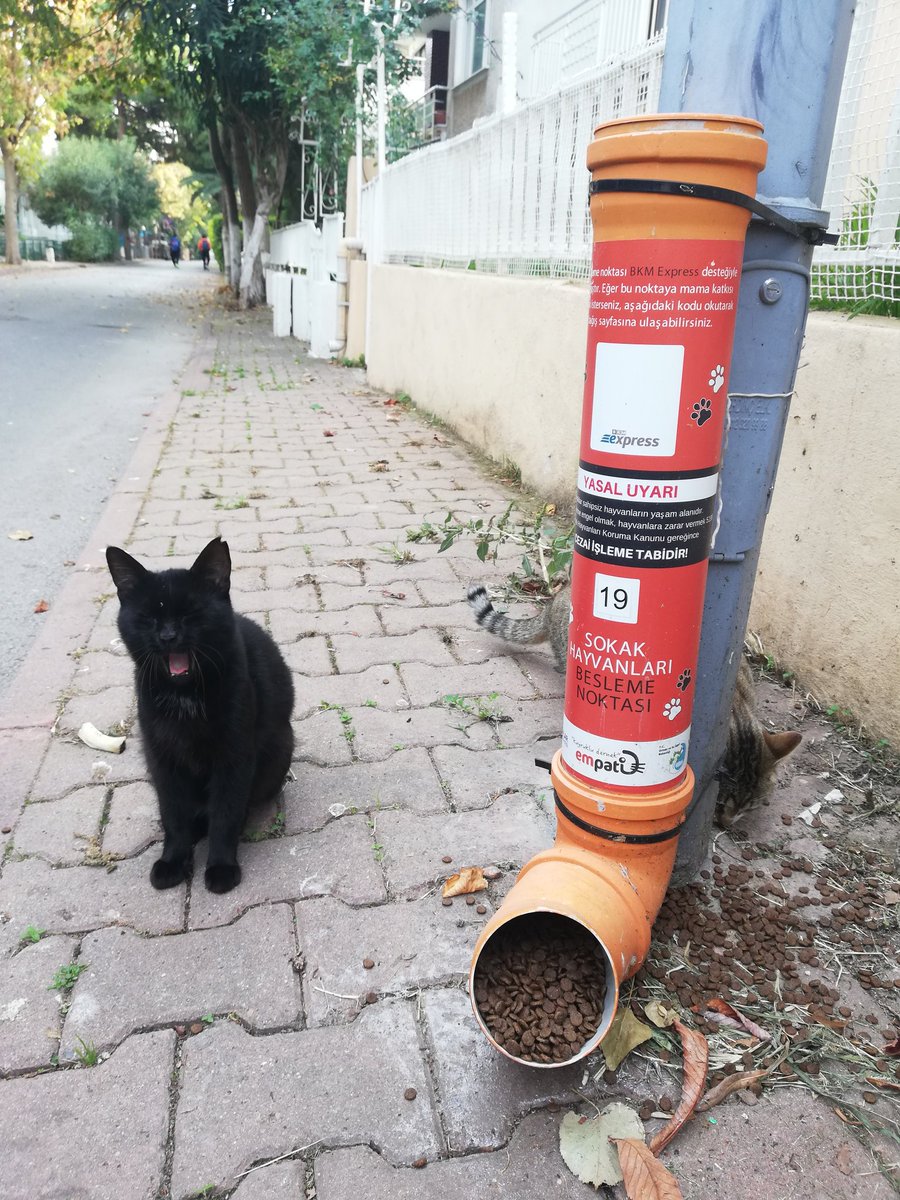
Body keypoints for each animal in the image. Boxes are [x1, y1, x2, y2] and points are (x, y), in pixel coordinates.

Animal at [107, 535, 294, 892]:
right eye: (148, 617)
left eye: (192, 613)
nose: (168, 636)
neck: (185, 696)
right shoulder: (162, 758)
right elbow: (174, 813)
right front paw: (173, 860)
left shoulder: (234, 757)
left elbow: (225, 812)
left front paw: (221, 866)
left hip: (278, 750)